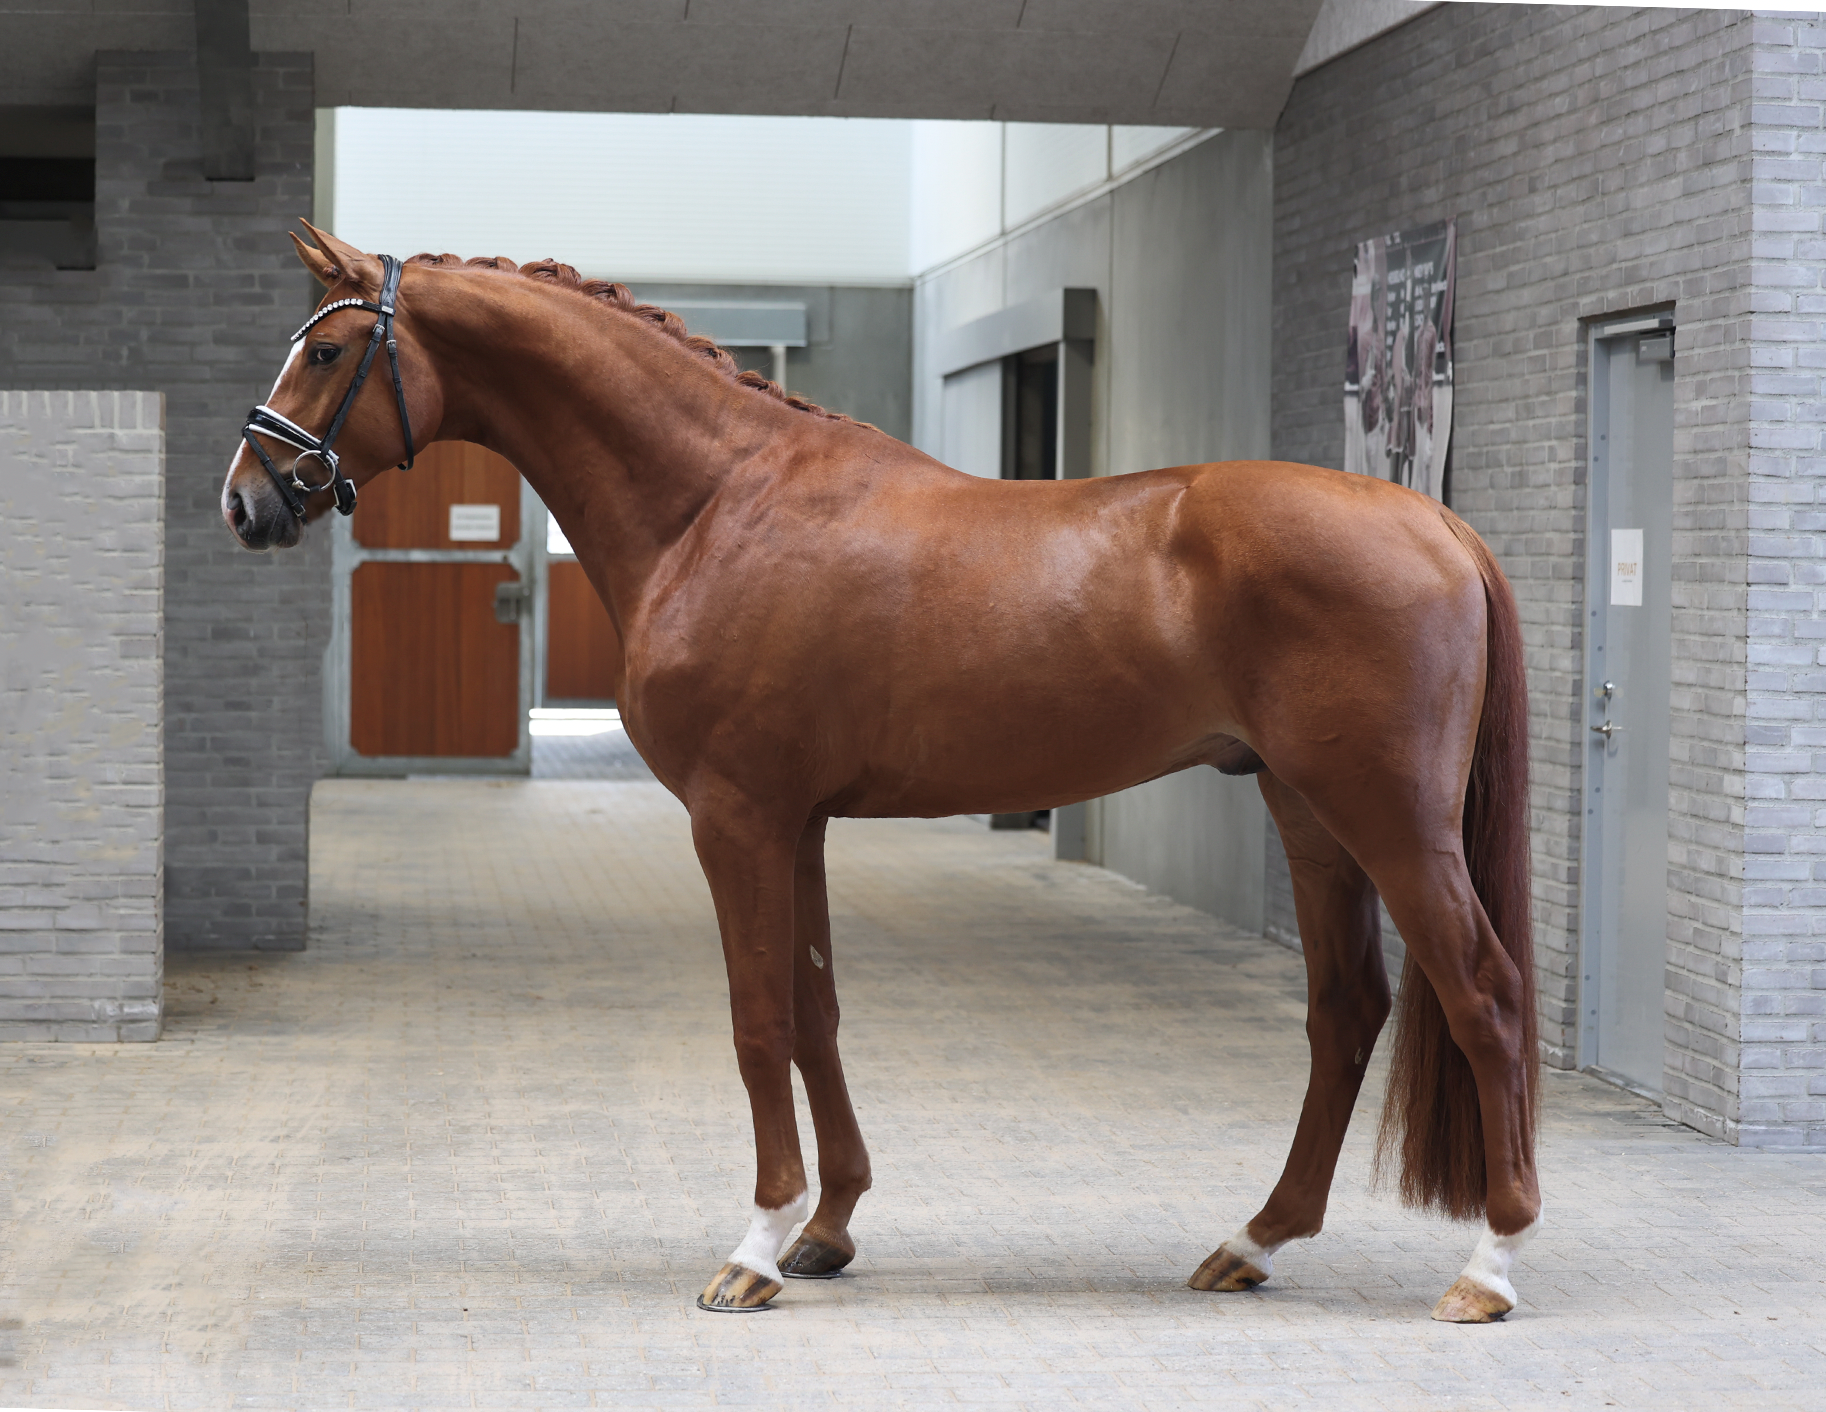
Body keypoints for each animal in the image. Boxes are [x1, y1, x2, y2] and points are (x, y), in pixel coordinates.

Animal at [222, 225, 1542, 1323]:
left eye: (326, 349)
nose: (245, 502)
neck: (718, 502)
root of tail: (1433, 524)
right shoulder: (797, 820)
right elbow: (814, 1011)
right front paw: (828, 1224)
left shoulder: (736, 817)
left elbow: (757, 1018)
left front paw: (753, 1247)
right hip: (1306, 810)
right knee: (1345, 1008)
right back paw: (1252, 1239)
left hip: (1389, 819)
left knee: (1481, 992)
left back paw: (1486, 1266)